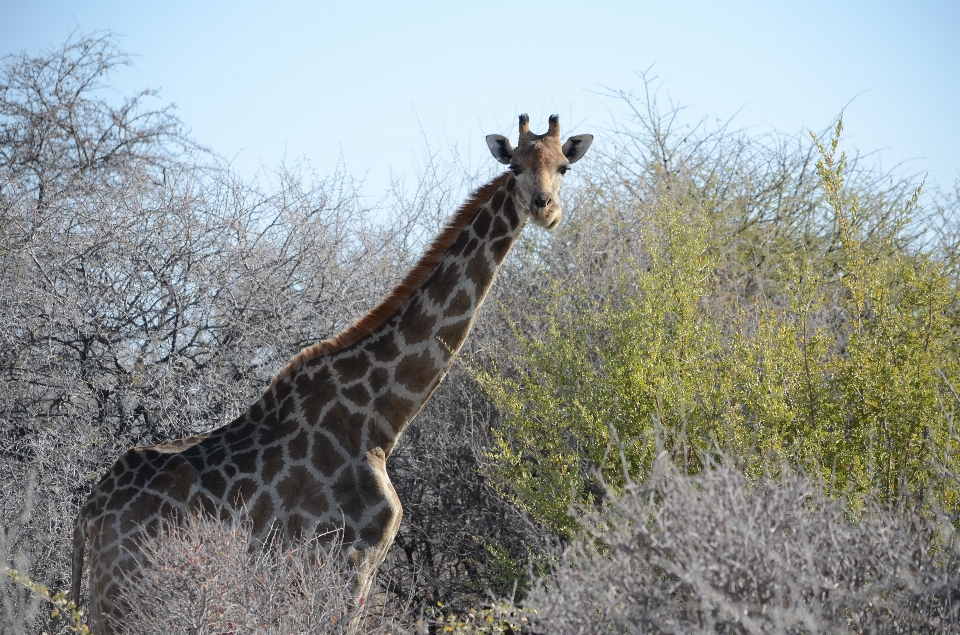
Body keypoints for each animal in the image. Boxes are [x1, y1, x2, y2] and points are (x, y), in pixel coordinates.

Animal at [69, 113, 592, 632]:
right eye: (515, 167)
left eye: (563, 167)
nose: (545, 209)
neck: (381, 420)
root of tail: (89, 511)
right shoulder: (346, 561)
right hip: (128, 596)